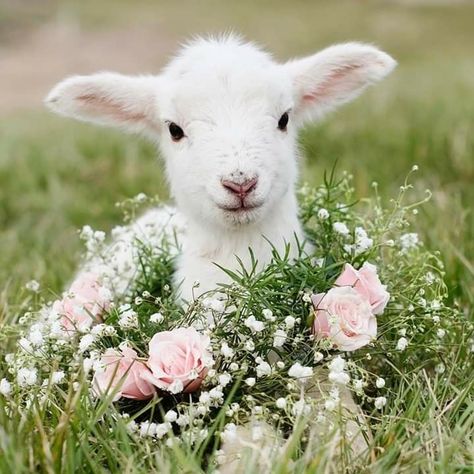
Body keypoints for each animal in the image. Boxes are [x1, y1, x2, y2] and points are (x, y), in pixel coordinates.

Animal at [46, 35, 396, 468]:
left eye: (284, 119)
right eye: (174, 129)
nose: (240, 182)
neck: (241, 258)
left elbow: (333, 395)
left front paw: (345, 448)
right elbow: (247, 422)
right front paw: (250, 458)